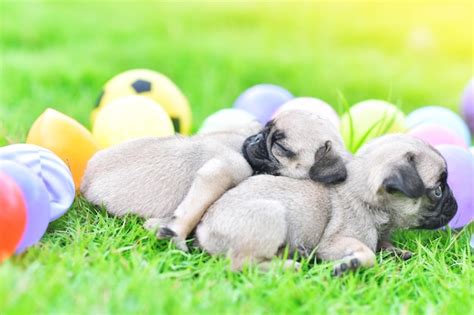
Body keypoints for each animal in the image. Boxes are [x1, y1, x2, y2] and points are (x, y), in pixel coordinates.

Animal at [80, 110, 348, 251]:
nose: (255, 138)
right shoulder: (226, 170)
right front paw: (176, 235)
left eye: (281, 147)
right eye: (264, 130)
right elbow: (192, 209)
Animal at [195, 135, 456, 276]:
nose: (454, 204)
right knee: (241, 264)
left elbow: (385, 245)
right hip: (272, 215)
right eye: (438, 190)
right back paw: (290, 265)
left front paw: (398, 252)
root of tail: (204, 230)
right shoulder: (332, 244)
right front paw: (351, 264)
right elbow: (368, 253)